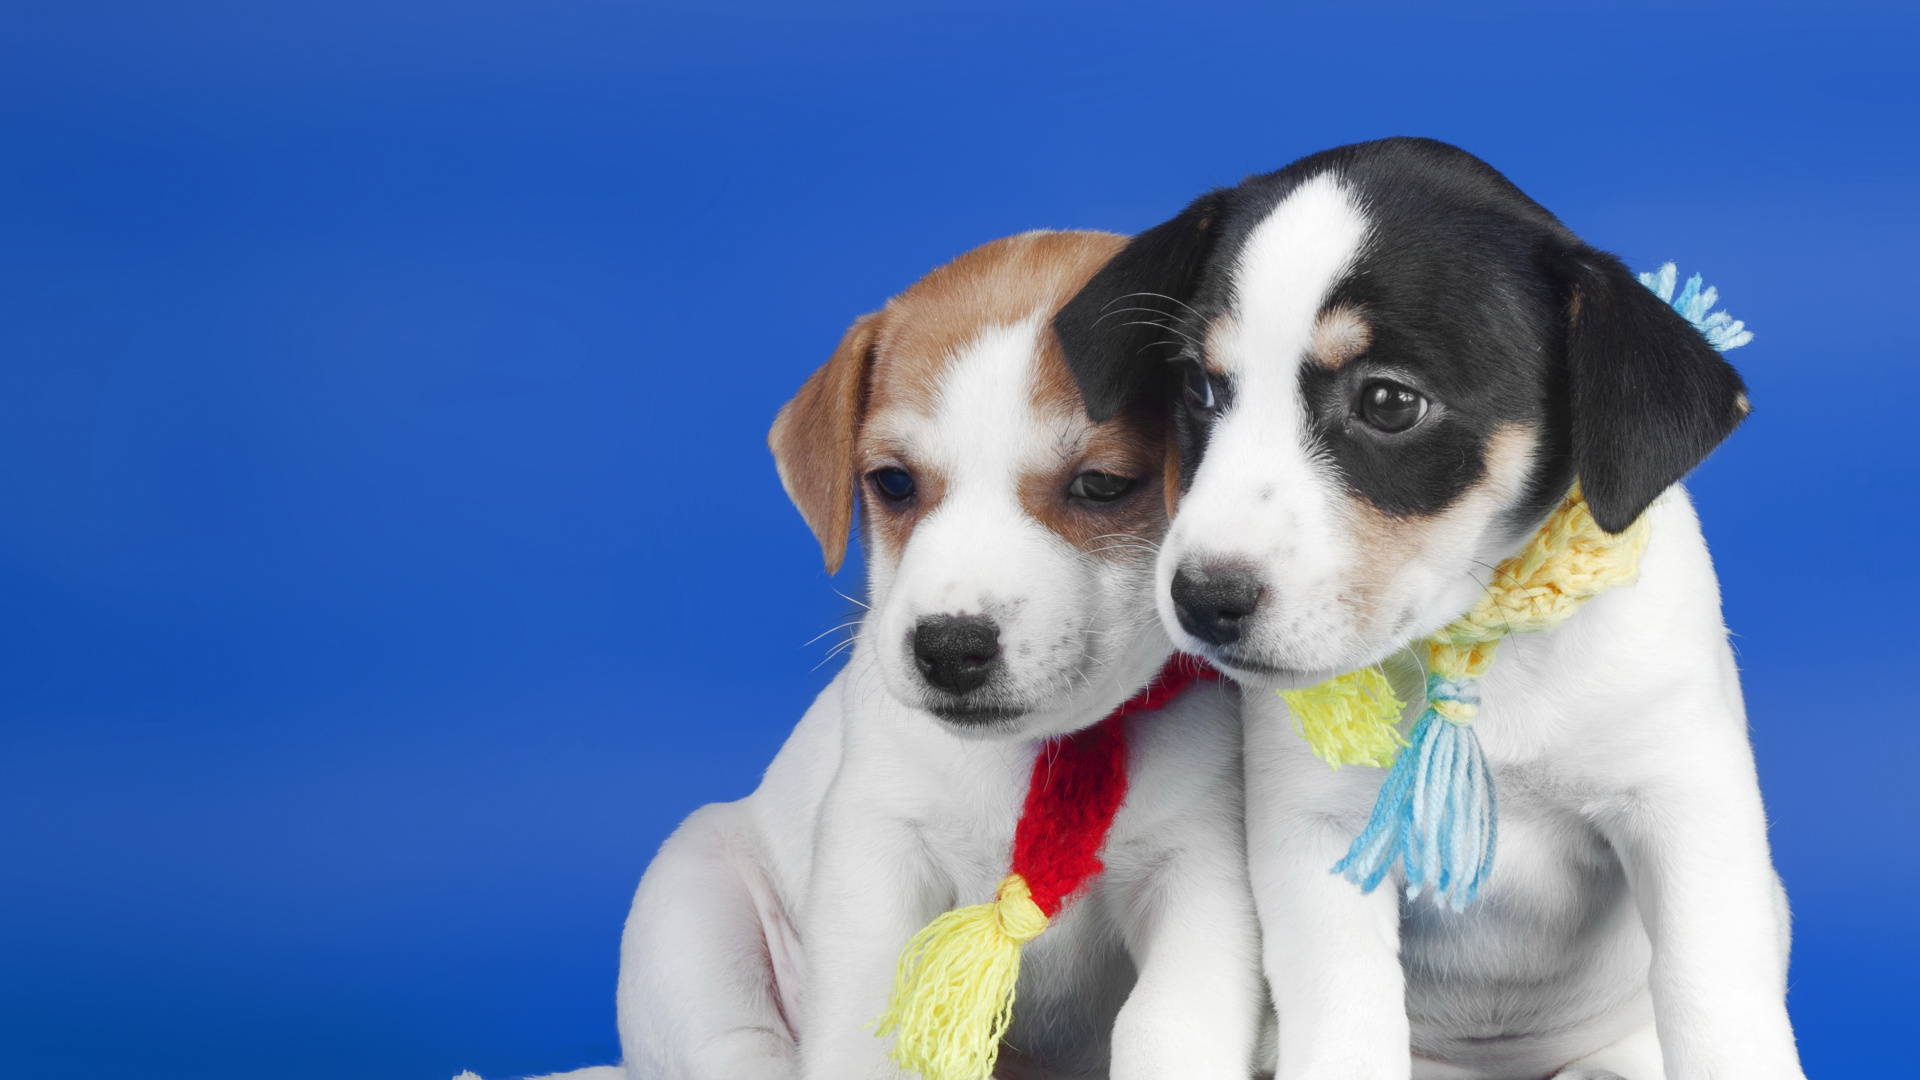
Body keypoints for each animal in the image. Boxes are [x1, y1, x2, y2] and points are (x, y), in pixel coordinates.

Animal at [606, 231, 1259, 1076]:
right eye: (892, 482)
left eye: (1102, 485)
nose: (948, 647)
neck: (1039, 760)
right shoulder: (878, 855)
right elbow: (861, 1028)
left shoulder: (1196, 877)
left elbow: (1169, 1026)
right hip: (692, 904)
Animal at [1059, 138, 1804, 1076]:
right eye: (1198, 389)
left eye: (1389, 402)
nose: (1201, 601)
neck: (1482, 650)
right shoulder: (1317, 837)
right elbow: (1349, 1029)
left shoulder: (1685, 806)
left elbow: (1715, 1004)